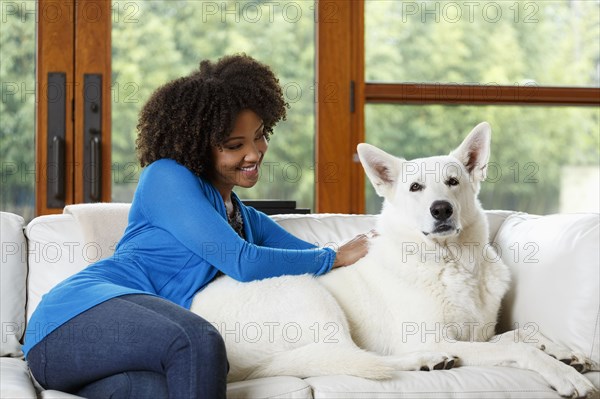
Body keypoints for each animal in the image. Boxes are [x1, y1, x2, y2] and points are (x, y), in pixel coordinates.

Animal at [191, 123, 596, 398]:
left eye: (453, 182)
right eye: (416, 187)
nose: (441, 209)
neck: (452, 263)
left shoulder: (480, 333)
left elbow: (520, 334)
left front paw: (566, 352)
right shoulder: (435, 335)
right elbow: (515, 347)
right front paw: (566, 375)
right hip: (310, 295)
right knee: (358, 356)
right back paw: (426, 360)